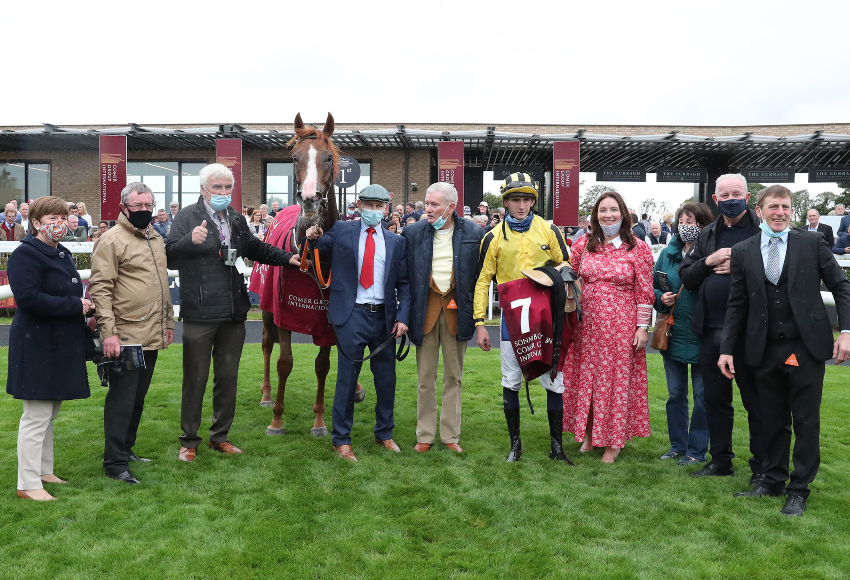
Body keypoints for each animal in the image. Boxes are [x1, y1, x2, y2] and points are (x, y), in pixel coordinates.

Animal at [260, 112, 362, 436]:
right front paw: (277, 420)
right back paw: (266, 395)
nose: (309, 198)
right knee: (266, 344)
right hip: (266, 308)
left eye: (328, 157)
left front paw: (319, 422)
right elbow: (284, 362)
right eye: (295, 158)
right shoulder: (283, 313)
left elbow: (322, 365)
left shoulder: (326, 319)